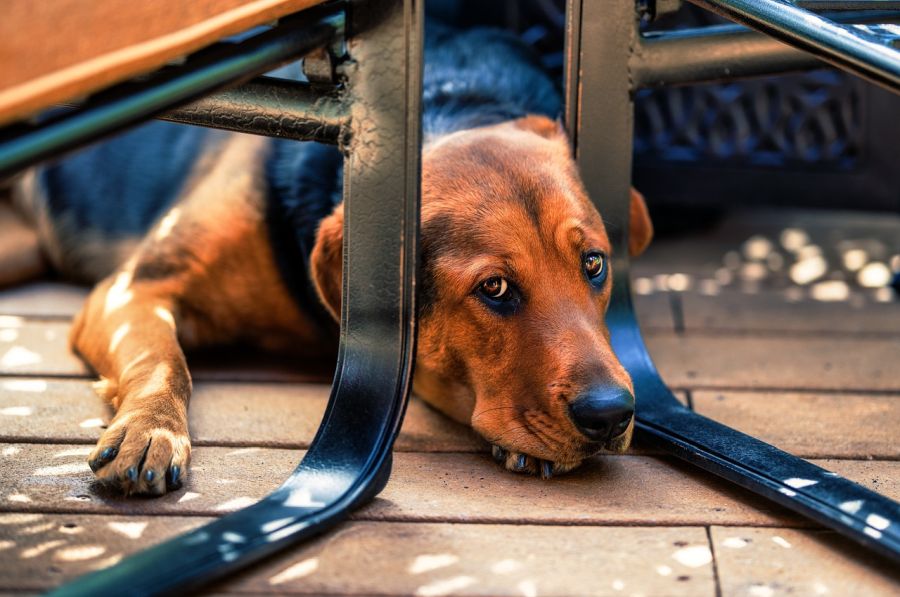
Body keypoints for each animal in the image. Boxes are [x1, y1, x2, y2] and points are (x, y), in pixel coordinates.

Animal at [0, 23, 652, 494]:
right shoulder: (137, 287)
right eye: (494, 289)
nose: (611, 414)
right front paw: (150, 429)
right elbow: (164, 360)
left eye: (594, 265)